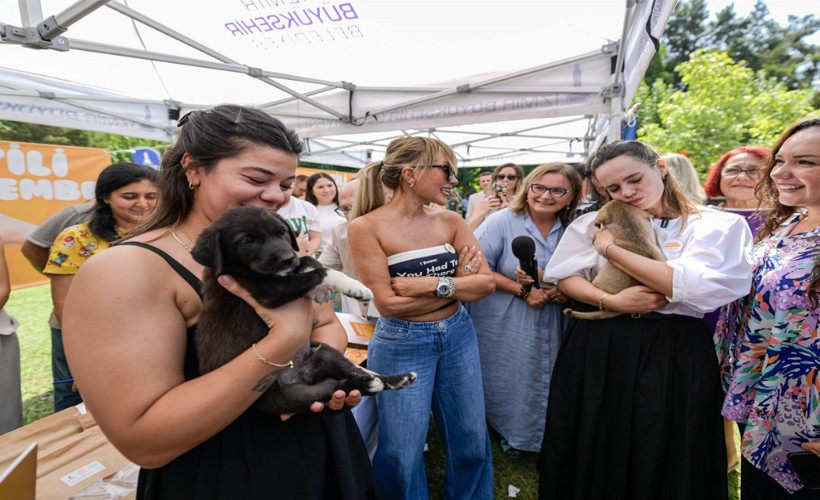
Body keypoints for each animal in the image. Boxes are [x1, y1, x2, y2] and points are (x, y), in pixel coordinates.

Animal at [192, 205, 416, 416]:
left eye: (283, 232)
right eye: (248, 240)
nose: (288, 258)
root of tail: (302, 374)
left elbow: (309, 262)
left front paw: (316, 282)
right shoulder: (267, 291)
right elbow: (323, 272)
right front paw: (355, 287)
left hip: (325, 353)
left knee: (353, 370)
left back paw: (395, 379)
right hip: (291, 395)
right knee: (332, 388)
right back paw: (364, 384)